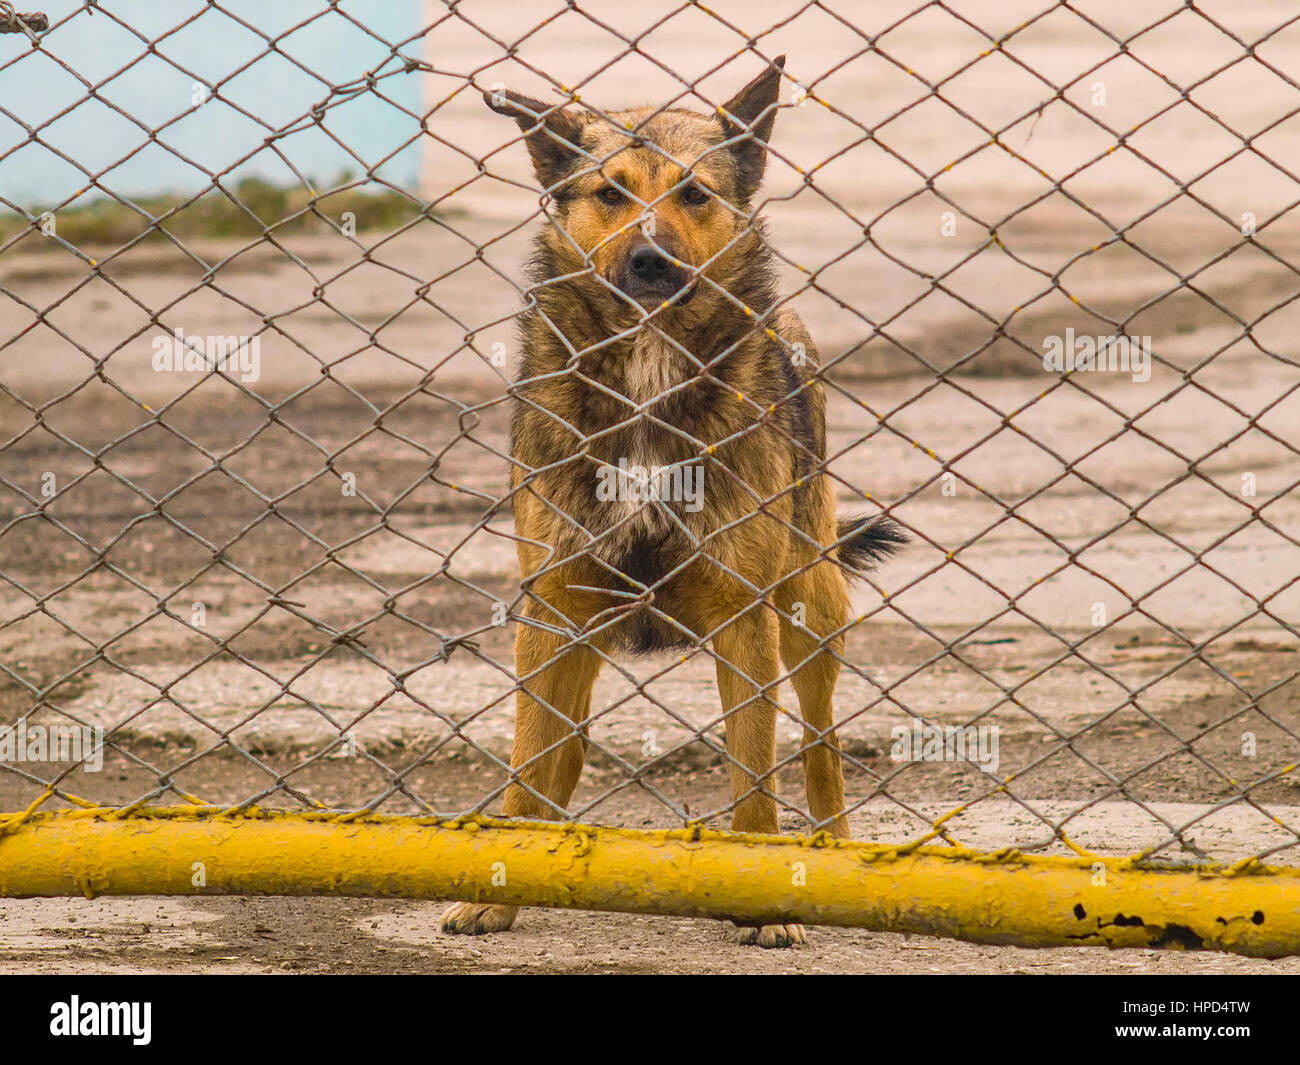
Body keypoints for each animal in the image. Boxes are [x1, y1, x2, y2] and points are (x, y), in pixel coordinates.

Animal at [441, 56, 899, 951]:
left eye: (694, 193)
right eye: (610, 192)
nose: (651, 261)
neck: (649, 369)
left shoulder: (744, 613)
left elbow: (754, 774)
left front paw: (770, 899)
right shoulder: (552, 604)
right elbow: (527, 762)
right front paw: (499, 885)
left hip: (811, 605)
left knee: (821, 744)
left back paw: (834, 849)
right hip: (577, 631)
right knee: (565, 746)